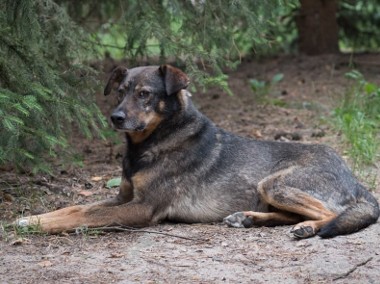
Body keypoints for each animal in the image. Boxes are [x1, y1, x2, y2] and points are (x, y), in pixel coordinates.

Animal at [17, 63, 380, 237]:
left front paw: (38, 226)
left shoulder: (142, 208)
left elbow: (86, 215)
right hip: (270, 190)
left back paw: (307, 229)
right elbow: (74, 208)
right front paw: (31, 218)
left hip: (274, 183)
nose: (115, 117)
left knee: (329, 214)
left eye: (145, 94)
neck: (154, 142)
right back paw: (248, 218)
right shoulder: (123, 198)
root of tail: (354, 178)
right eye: (121, 91)